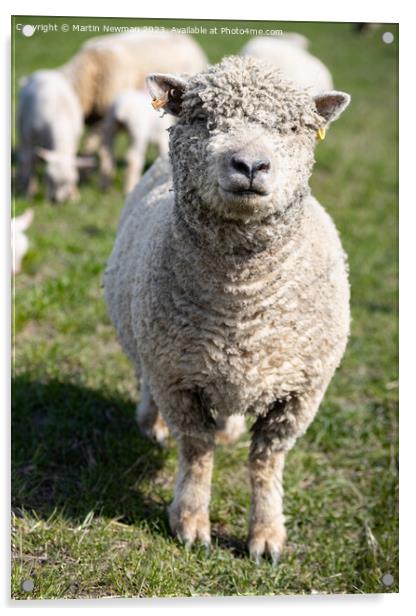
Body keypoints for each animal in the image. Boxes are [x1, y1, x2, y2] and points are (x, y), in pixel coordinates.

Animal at [104, 57, 352, 564]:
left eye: (293, 127)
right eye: (203, 119)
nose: (251, 165)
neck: (242, 302)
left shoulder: (299, 394)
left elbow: (266, 462)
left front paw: (267, 535)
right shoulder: (176, 378)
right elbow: (196, 452)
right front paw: (190, 523)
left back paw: (229, 428)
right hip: (149, 343)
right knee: (144, 382)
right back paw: (150, 423)